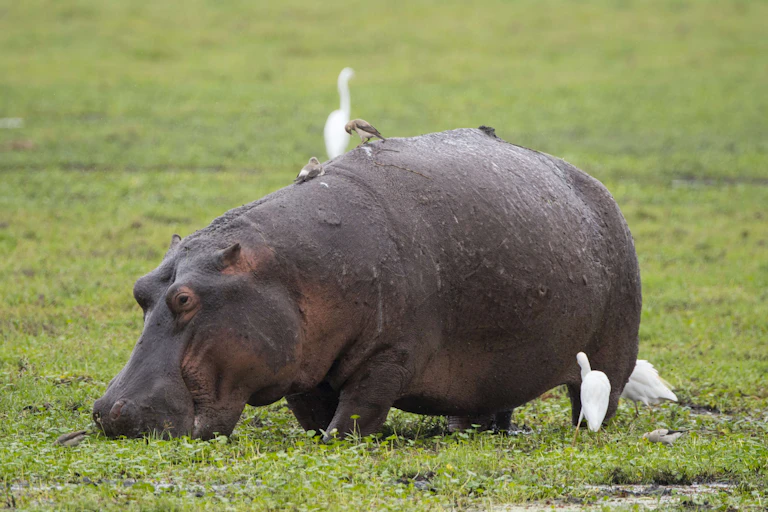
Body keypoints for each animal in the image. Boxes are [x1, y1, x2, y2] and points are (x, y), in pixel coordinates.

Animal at [93, 128, 641, 440]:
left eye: (185, 298)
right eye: (140, 289)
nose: (111, 412)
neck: (284, 270)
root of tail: (599, 190)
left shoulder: (390, 353)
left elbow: (359, 410)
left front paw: (339, 441)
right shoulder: (303, 362)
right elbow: (312, 412)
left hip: (611, 357)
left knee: (595, 398)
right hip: (495, 371)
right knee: (487, 405)